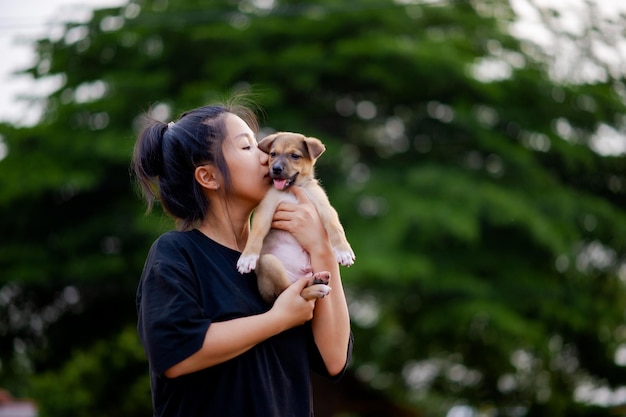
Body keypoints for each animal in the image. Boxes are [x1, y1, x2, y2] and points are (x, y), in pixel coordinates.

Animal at [236, 132, 354, 300]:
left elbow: (335, 227)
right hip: (269, 262)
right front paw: (247, 257)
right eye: (273, 154)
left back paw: (318, 281)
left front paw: (344, 251)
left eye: (295, 156)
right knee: (288, 292)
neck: (292, 189)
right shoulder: (265, 209)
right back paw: (317, 286)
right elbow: (256, 233)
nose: (276, 169)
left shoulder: (325, 207)